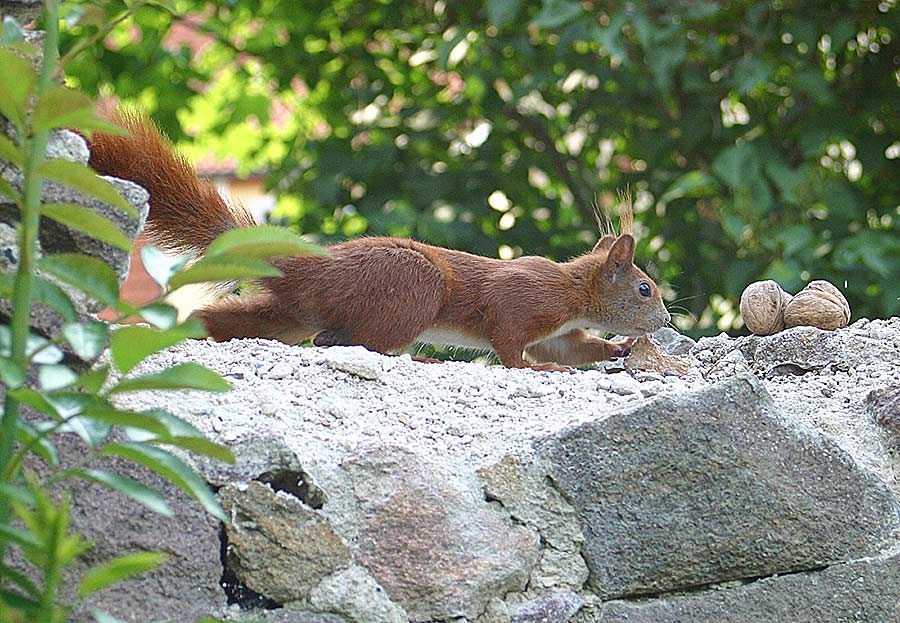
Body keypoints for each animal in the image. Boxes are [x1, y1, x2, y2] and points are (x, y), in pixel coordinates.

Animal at [88, 110, 672, 372]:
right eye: (645, 289)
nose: (666, 322)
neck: (575, 293)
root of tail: (315, 267)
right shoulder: (524, 301)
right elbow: (511, 345)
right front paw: (535, 368)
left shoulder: (561, 328)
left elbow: (575, 346)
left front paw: (617, 347)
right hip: (413, 289)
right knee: (355, 343)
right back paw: (420, 360)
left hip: (290, 312)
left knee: (245, 321)